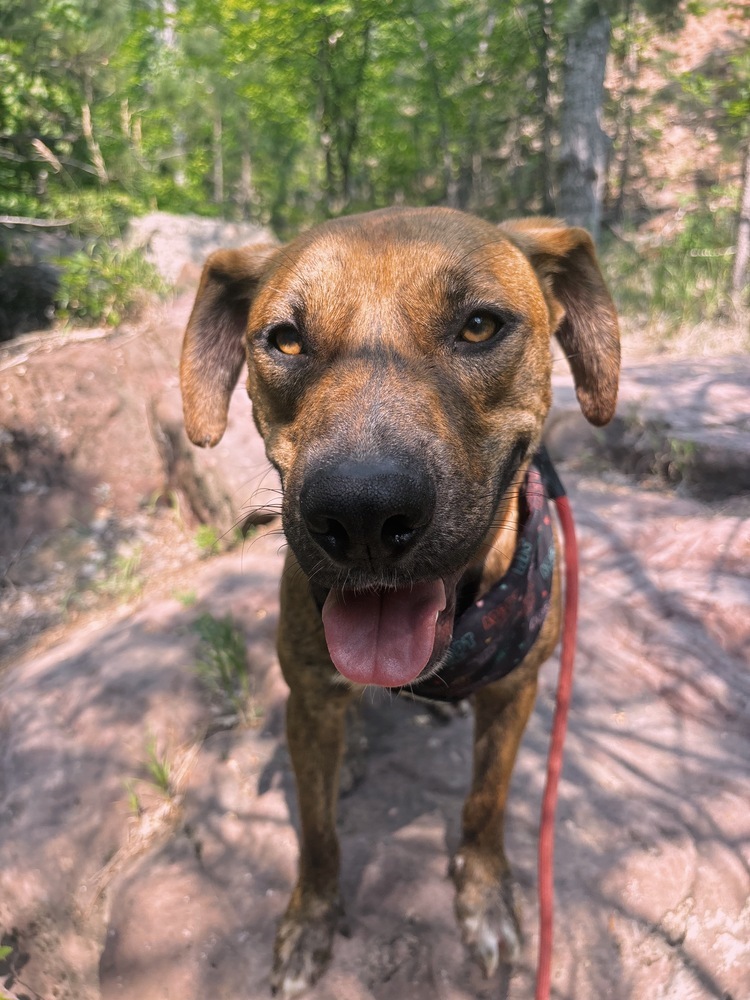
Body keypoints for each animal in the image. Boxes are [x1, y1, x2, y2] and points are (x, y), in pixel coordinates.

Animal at [179, 207, 620, 996]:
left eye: (479, 325)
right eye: (284, 340)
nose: (360, 514)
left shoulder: (516, 688)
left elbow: (486, 802)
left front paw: (485, 897)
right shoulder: (310, 697)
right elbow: (319, 833)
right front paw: (311, 919)